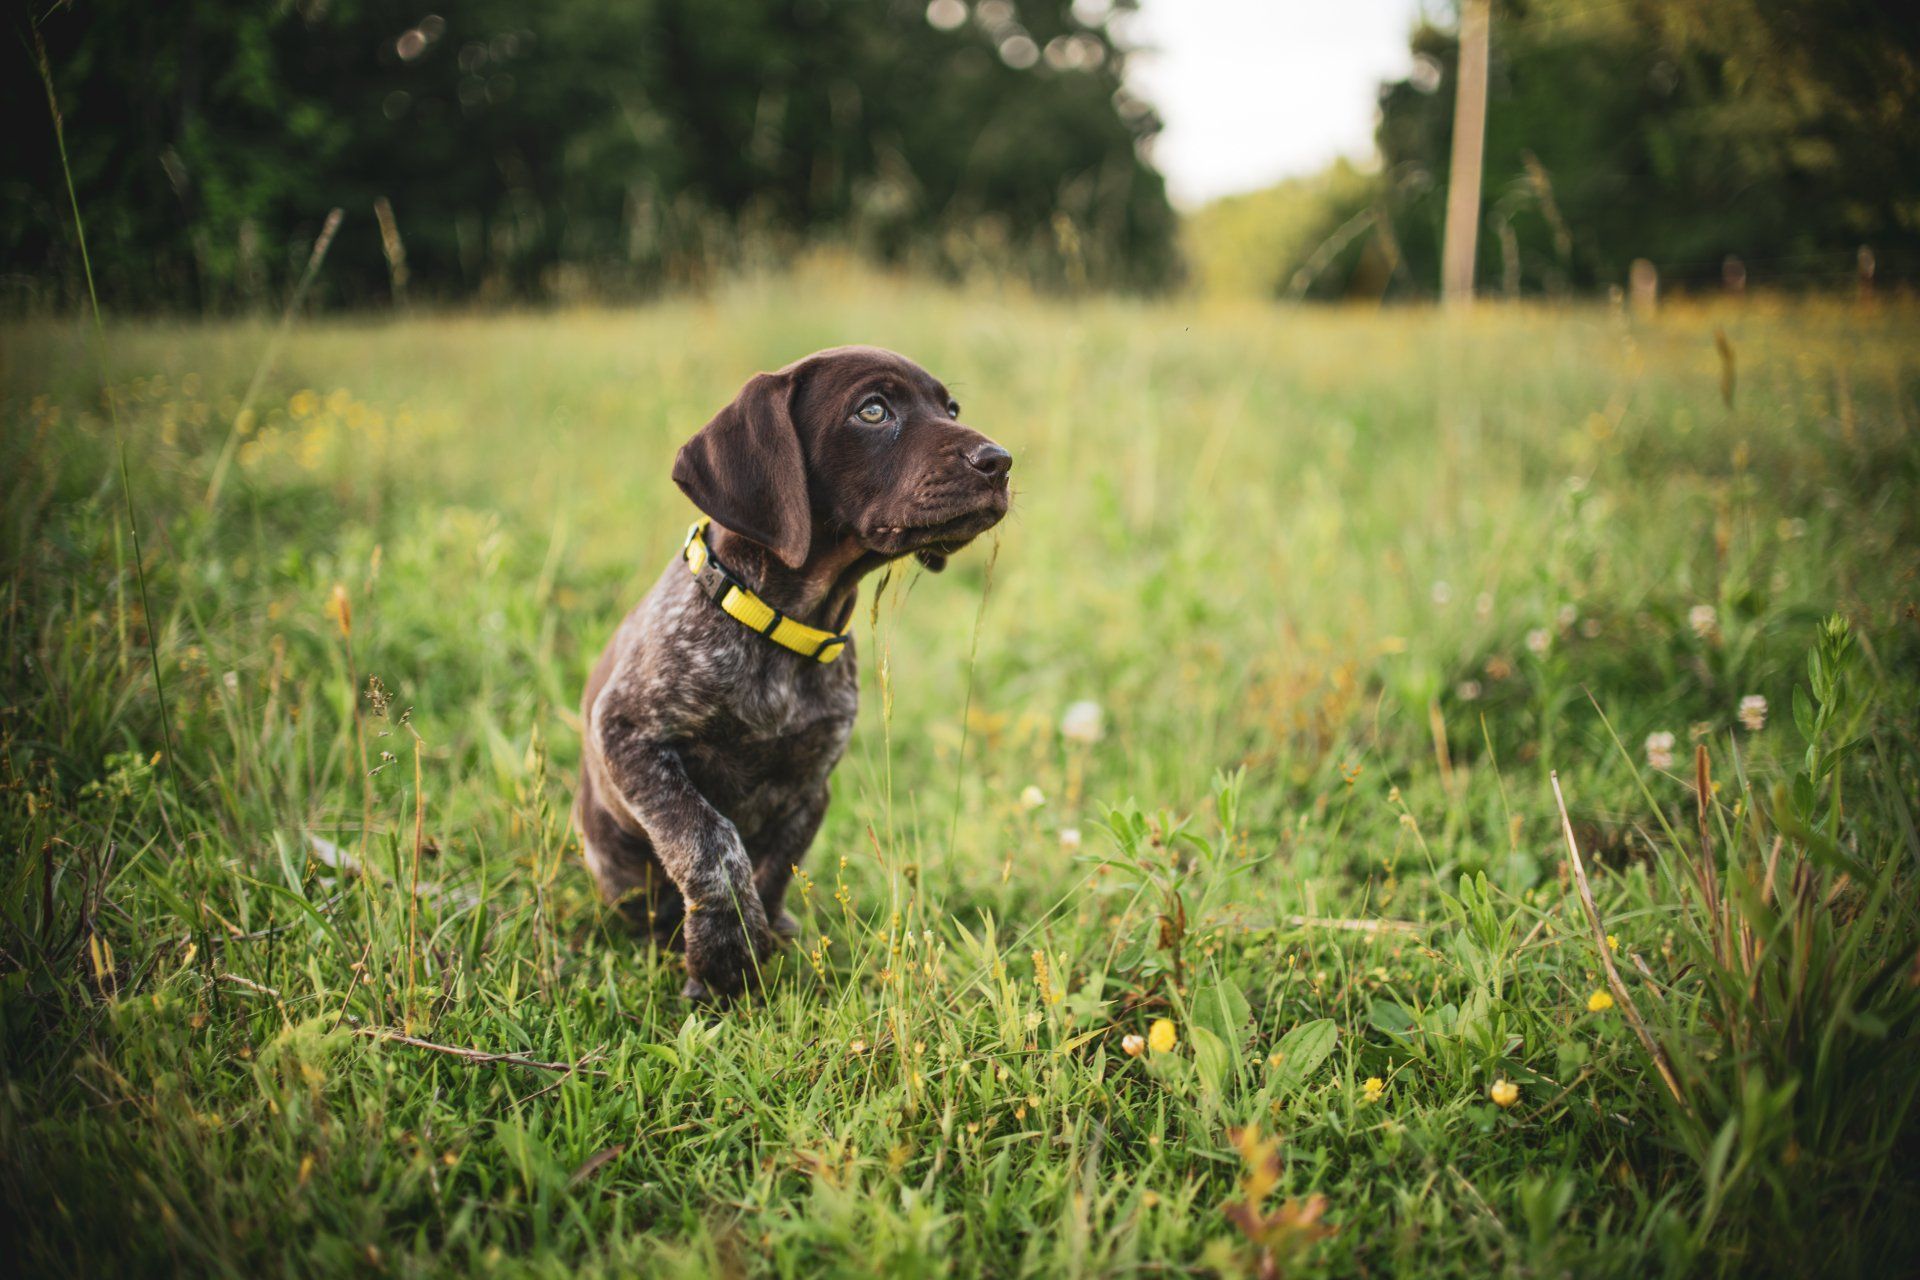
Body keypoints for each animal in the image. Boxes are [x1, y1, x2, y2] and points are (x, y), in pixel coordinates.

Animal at [572, 347, 1013, 997]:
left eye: (951, 409)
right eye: (873, 410)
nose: (1000, 462)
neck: (782, 629)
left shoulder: (810, 782)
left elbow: (775, 867)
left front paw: (764, 944)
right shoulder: (629, 735)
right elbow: (707, 838)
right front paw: (724, 958)